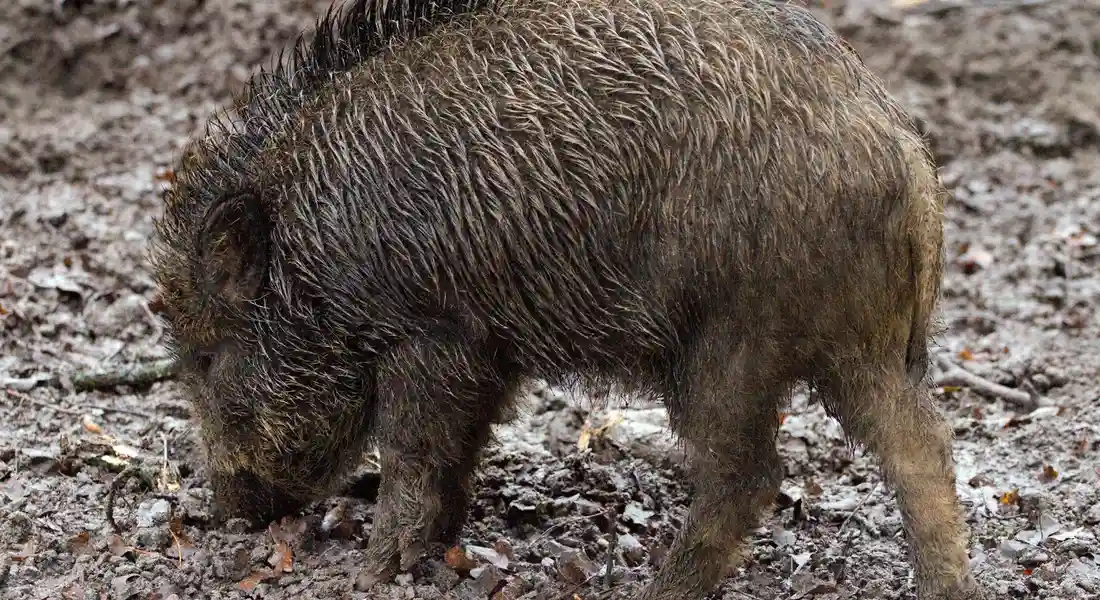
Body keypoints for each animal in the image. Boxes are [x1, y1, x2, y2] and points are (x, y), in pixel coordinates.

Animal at [149, 0, 984, 598]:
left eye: (207, 356)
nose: (227, 511)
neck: (315, 253)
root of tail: (902, 149)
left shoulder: (429, 339)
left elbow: (412, 457)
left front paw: (370, 574)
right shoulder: (484, 355)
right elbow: (455, 460)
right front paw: (431, 553)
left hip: (730, 344)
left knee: (749, 475)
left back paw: (661, 590)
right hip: (863, 343)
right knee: (922, 447)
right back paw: (947, 588)